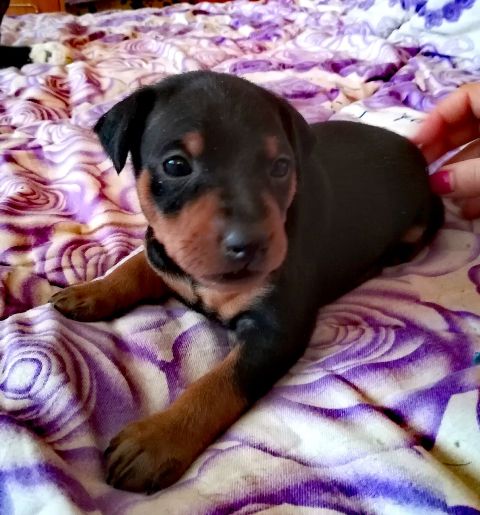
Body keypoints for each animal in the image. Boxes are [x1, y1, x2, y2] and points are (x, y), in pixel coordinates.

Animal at [50, 70, 444, 493]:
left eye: (281, 167)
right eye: (176, 165)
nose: (250, 243)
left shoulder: (276, 333)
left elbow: (217, 384)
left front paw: (155, 441)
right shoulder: (165, 251)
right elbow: (137, 265)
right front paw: (92, 291)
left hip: (423, 215)